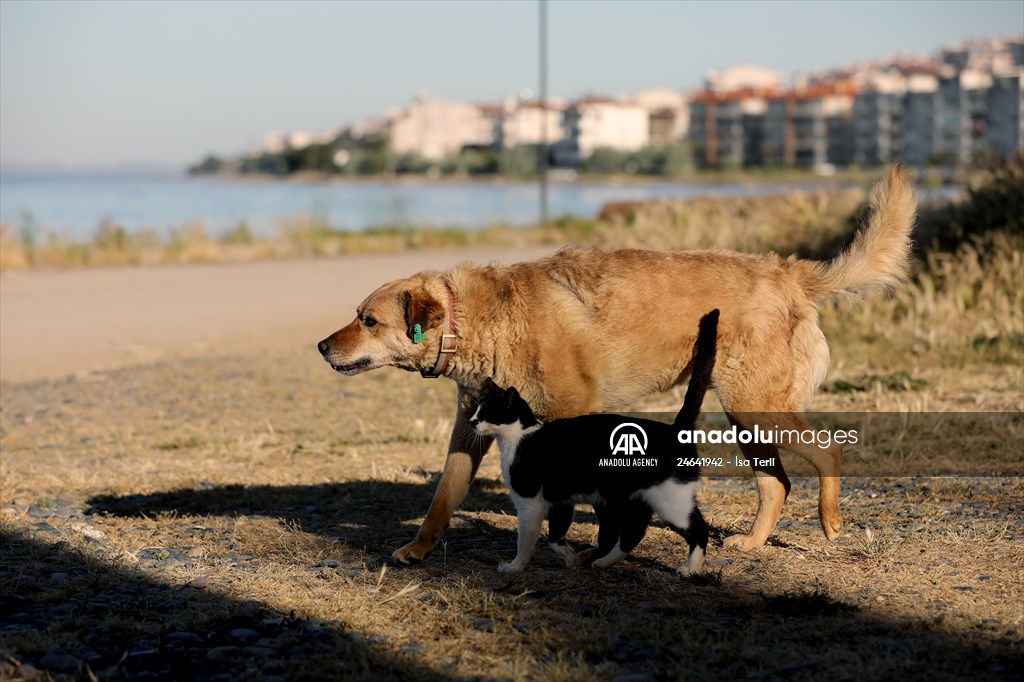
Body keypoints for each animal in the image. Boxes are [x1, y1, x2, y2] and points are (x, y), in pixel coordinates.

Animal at [468, 307, 716, 573]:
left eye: (486, 413)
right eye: (476, 410)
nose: (471, 421)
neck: (519, 438)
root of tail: (675, 428)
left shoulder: (530, 504)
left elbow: (526, 541)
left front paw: (514, 567)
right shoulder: (561, 502)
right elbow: (555, 537)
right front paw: (570, 559)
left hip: (671, 502)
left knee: (699, 529)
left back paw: (690, 569)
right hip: (635, 501)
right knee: (633, 534)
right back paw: (602, 562)